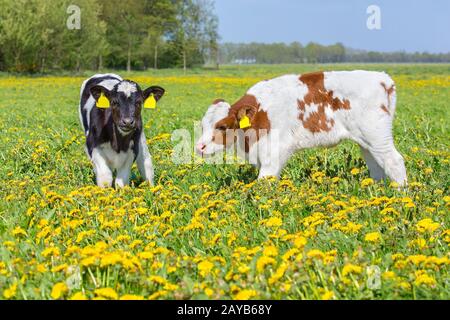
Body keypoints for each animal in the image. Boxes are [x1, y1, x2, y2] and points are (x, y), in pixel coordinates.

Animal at [197, 70, 408, 185]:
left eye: (222, 126)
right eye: (202, 125)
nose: (199, 147)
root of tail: (382, 78)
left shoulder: (275, 151)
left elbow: (265, 181)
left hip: (377, 136)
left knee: (394, 161)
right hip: (366, 141)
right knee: (377, 166)